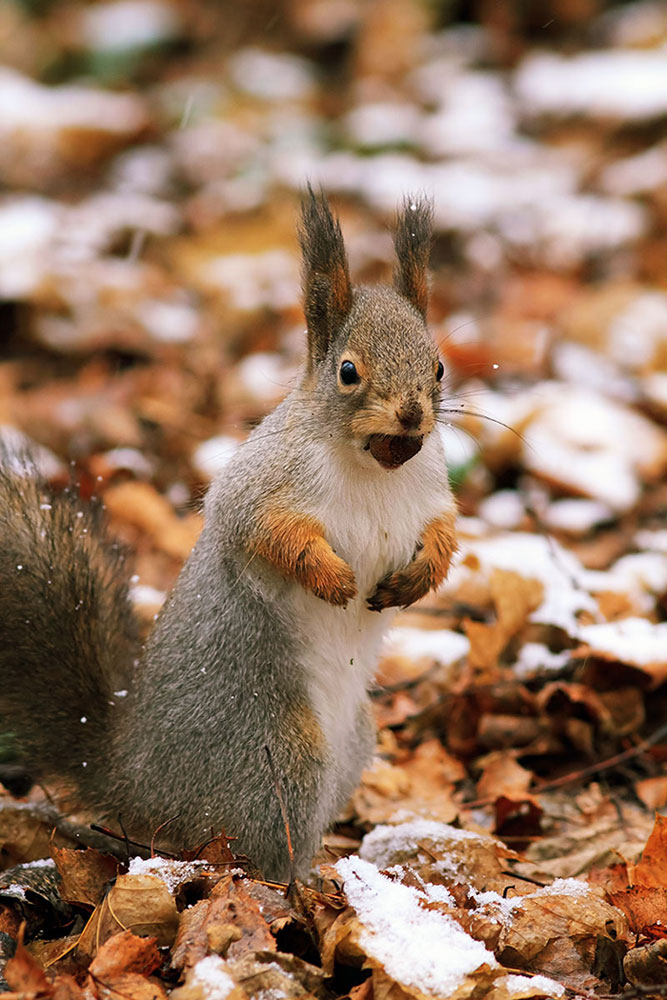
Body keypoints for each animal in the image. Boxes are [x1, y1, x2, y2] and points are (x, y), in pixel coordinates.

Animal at [0, 191, 460, 880]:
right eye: (348, 371)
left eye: (438, 366)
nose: (411, 415)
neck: (376, 468)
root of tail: (132, 779)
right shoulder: (259, 485)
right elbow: (266, 531)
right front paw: (332, 578)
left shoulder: (431, 492)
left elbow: (444, 536)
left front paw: (415, 580)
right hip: (278, 756)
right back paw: (301, 883)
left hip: (353, 743)